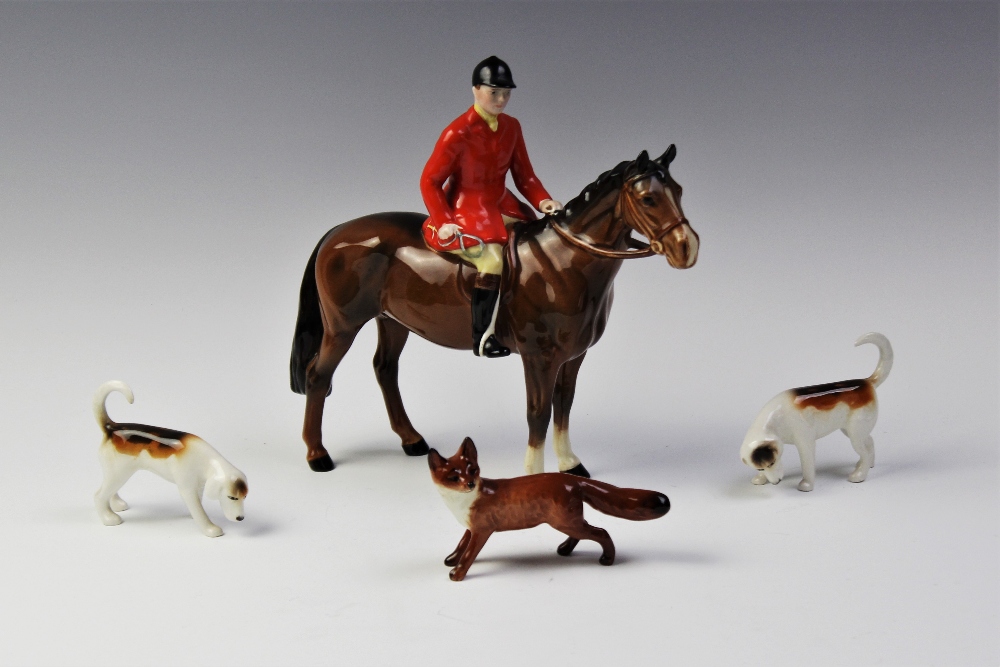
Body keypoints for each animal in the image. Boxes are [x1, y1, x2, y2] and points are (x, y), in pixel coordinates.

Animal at [288, 147, 696, 480]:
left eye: (678, 191)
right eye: (647, 198)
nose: (687, 248)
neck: (564, 260)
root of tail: (338, 232)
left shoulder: (574, 356)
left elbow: (564, 407)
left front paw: (571, 465)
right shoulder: (539, 358)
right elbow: (539, 414)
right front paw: (536, 476)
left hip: (392, 321)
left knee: (385, 370)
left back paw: (411, 439)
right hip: (342, 327)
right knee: (318, 376)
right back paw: (317, 453)